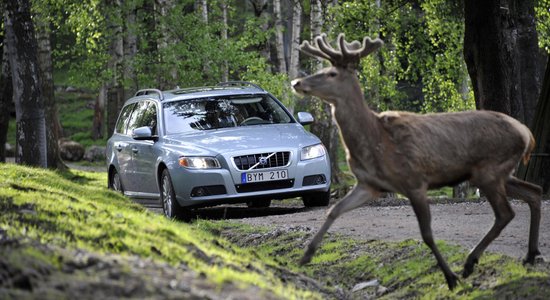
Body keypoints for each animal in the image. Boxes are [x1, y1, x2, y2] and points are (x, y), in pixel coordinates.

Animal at [294, 33, 544, 290]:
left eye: (332, 73)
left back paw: (470, 263)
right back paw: (529, 255)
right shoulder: (370, 184)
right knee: (534, 191)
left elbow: (427, 234)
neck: (374, 140)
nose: (297, 83)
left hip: (489, 170)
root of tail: (527, 133)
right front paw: (306, 256)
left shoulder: (414, 181)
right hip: (497, 173)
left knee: (506, 213)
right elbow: (333, 210)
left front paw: (450, 277)